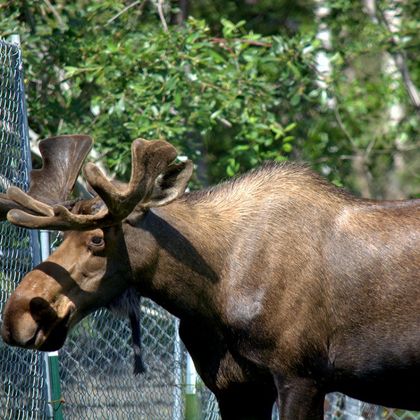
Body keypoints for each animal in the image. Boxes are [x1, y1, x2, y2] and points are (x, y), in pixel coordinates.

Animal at [0, 136, 420, 418]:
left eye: (97, 239)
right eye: (58, 238)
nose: (16, 315)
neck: (210, 296)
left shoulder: (302, 377)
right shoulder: (234, 388)